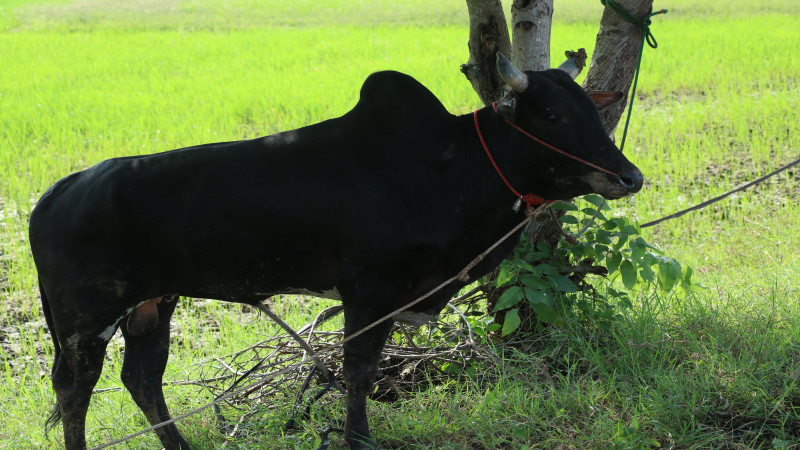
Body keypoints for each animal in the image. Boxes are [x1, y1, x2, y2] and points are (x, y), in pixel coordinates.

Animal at [29, 54, 644, 448]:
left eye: (593, 111)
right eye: (553, 115)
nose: (629, 177)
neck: (449, 167)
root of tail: (61, 189)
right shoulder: (370, 291)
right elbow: (359, 372)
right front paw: (358, 440)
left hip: (153, 304)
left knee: (141, 378)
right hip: (86, 318)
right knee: (74, 391)